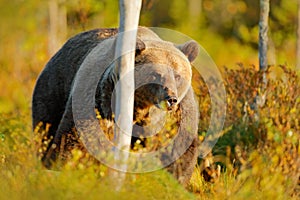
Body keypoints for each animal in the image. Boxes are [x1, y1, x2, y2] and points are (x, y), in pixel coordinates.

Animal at [32, 27, 199, 188]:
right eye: (156, 74)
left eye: (177, 76)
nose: (171, 99)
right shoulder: (100, 101)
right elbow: (77, 140)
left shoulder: (176, 120)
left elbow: (180, 152)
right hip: (54, 88)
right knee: (45, 127)